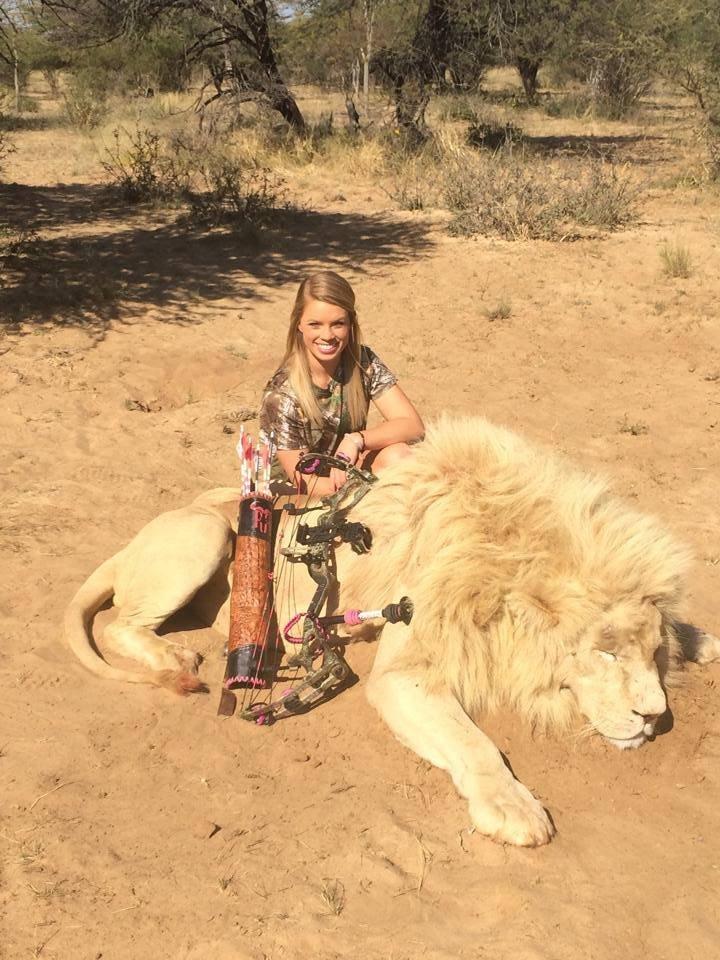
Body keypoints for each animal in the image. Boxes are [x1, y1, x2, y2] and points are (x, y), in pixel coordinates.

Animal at [64, 416, 716, 844]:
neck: (509, 546)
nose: (653, 717)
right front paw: (516, 812)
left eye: (649, 653)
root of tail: (132, 544)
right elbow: (475, 744)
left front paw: (701, 639)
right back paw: (177, 664)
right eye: (605, 656)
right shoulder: (405, 673)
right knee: (122, 624)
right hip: (203, 534)